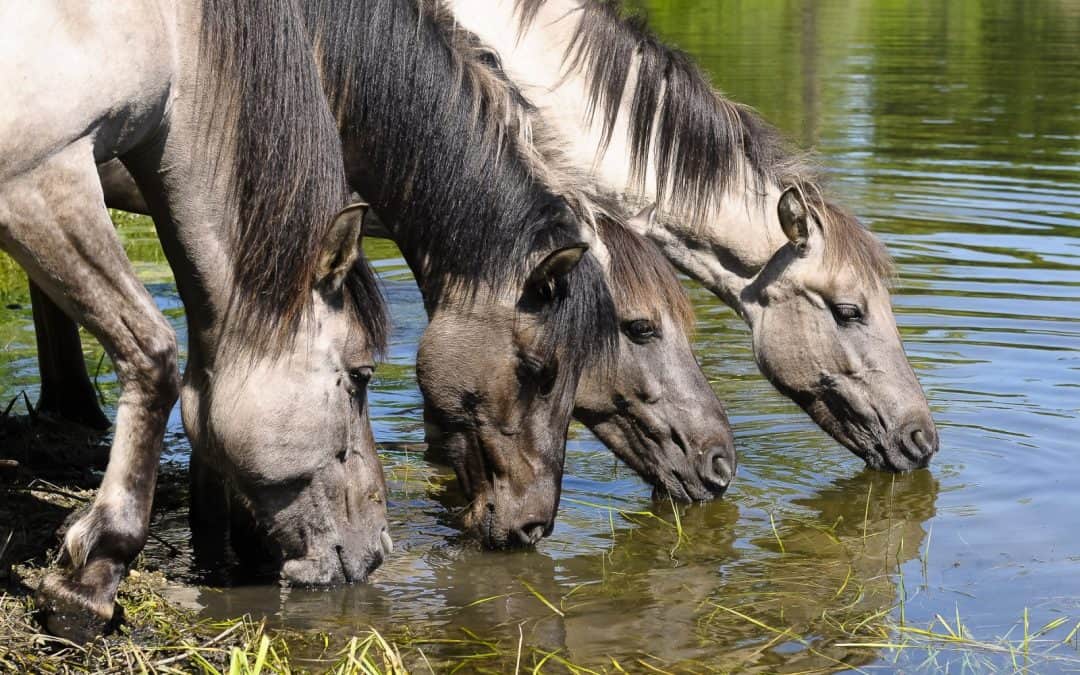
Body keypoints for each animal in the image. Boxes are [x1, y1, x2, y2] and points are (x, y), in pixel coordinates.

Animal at [0, 0, 390, 635]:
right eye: (360, 375)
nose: (380, 548)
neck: (171, 32)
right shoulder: (40, 176)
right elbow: (152, 353)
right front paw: (92, 574)